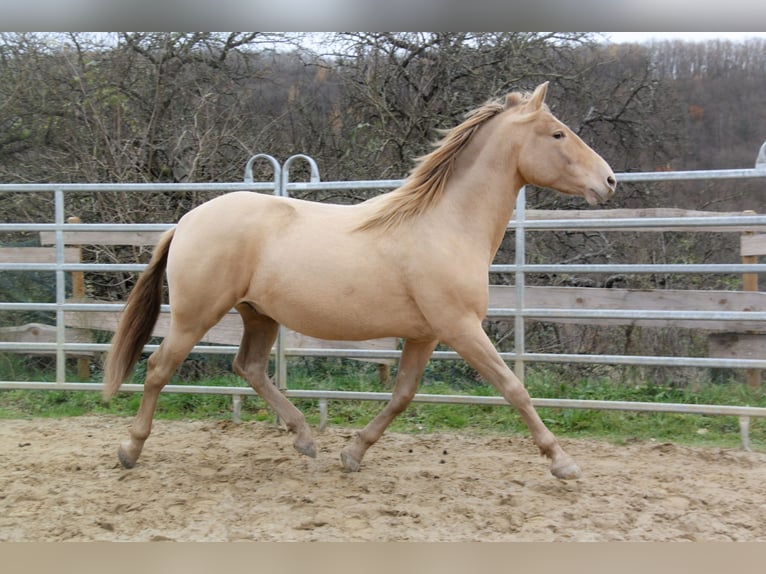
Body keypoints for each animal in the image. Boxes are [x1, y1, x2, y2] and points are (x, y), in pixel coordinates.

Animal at [102, 82, 616, 482]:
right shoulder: (461, 327)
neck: (445, 225)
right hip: (195, 315)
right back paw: (130, 450)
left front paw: (352, 453)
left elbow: (403, 395)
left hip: (259, 315)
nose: (609, 181)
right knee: (158, 369)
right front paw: (563, 463)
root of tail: (186, 222)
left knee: (248, 368)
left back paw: (305, 439)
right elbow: (514, 388)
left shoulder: (426, 335)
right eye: (557, 133)